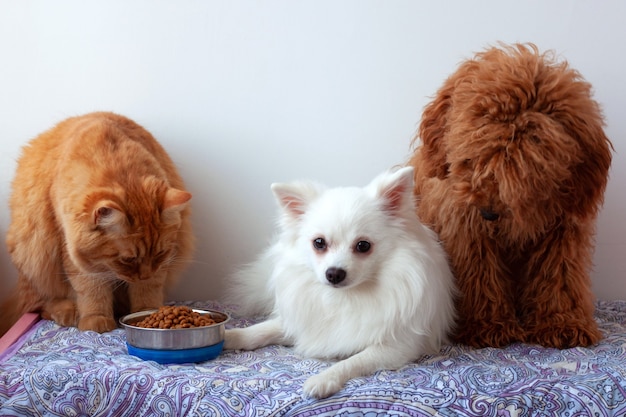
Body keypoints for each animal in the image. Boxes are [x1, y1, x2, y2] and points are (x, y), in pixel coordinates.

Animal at [0, 112, 193, 336]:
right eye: (127, 260)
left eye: (160, 254)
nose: (144, 275)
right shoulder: (79, 259)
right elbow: (92, 291)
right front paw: (96, 319)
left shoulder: (159, 267)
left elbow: (148, 292)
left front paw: (146, 313)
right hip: (33, 257)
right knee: (38, 306)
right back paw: (68, 312)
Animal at [224, 167, 454, 398]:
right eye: (319, 243)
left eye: (363, 245)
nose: (334, 273)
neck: (345, 297)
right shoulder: (304, 324)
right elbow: (260, 330)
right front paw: (227, 336)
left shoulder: (397, 347)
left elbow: (354, 361)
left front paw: (324, 379)